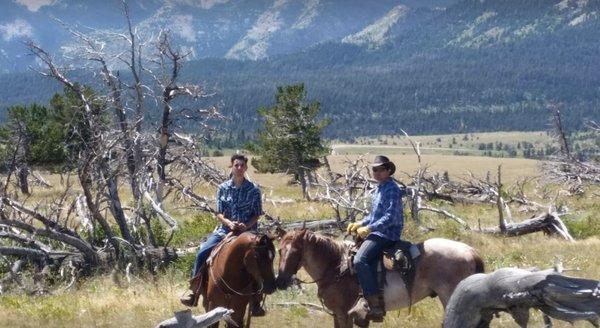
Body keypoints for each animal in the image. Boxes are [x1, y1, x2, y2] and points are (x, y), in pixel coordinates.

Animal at [274, 229, 486, 326]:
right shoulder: (339, 315)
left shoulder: (344, 314)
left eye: (296, 251)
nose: (281, 281)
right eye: (279, 250)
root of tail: (470, 251)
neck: (335, 267)